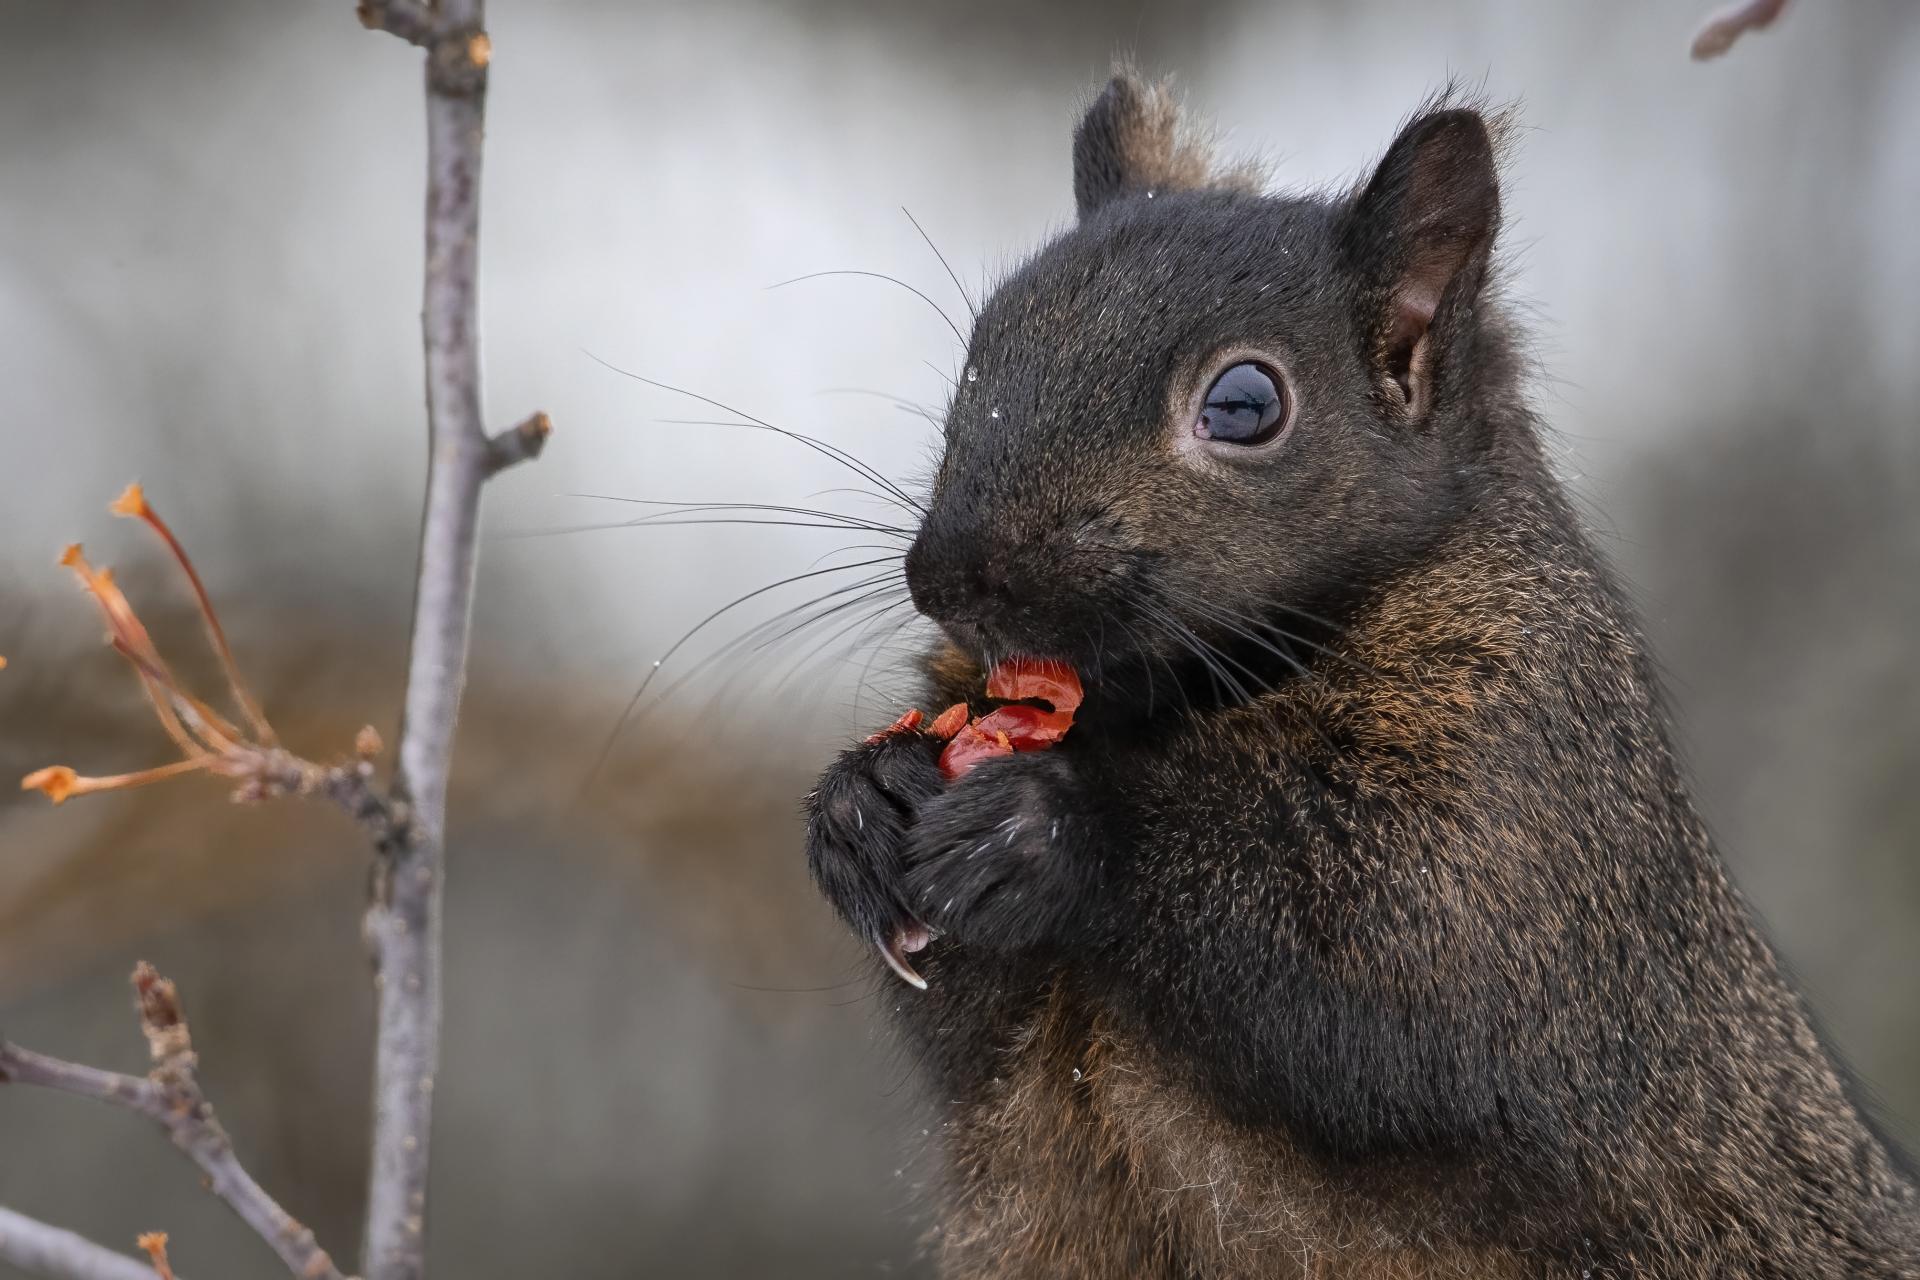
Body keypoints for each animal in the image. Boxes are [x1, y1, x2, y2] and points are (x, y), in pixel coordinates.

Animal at [802, 70, 1920, 1279]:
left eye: (1245, 405)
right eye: (982, 353)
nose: (951, 576)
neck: (1177, 702)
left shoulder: (1527, 794)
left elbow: (1405, 982)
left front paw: (1052, 825)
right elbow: (975, 1030)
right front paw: (864, 805)